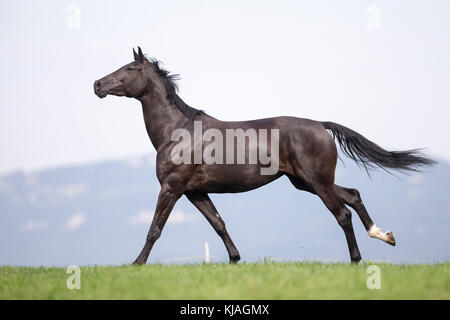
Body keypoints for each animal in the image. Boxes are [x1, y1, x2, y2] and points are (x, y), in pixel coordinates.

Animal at [93, 47, 434, 262]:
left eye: (130, 68)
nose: (97, 84)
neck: (178, 132)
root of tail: (321, 125)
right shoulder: (195, 191)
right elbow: (219, 224)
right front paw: (234, 259)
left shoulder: (171, 188)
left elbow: (154, 229)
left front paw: (136, 264)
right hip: (305, 182)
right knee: (353, 195)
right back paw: (384, 235)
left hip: (316, 182)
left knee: (342, 213)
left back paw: (356, 259)